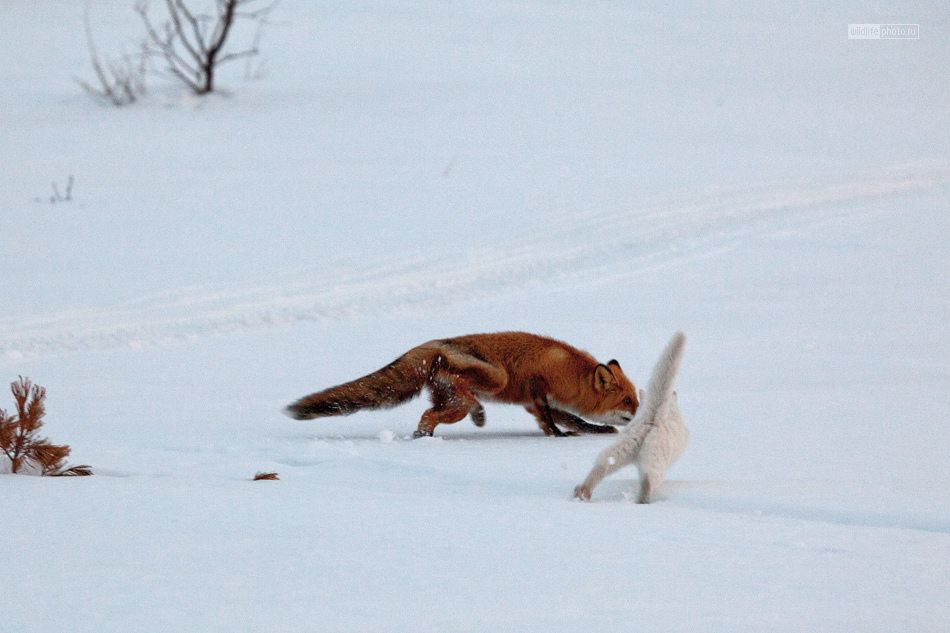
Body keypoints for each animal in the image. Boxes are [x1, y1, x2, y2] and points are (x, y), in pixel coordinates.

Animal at [282, 330, 640, 440]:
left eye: (636, 399)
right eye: (627, 402)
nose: (642, 416)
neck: (567, 369)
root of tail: (428, 344)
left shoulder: (533, 401)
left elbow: (571, 419)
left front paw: (593, 430)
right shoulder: (536, 386)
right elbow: (552, 421)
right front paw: (557, 436)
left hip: (446, 395)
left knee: (430, 414)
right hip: (495, 377)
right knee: (455, 400)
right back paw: (477, 413)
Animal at [576, 330, 688, 504]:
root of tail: (651, 418)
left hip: (620, 448)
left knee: (601, 465)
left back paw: (582, 493)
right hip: (655, 461)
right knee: (648, 480)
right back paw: (642, 501)